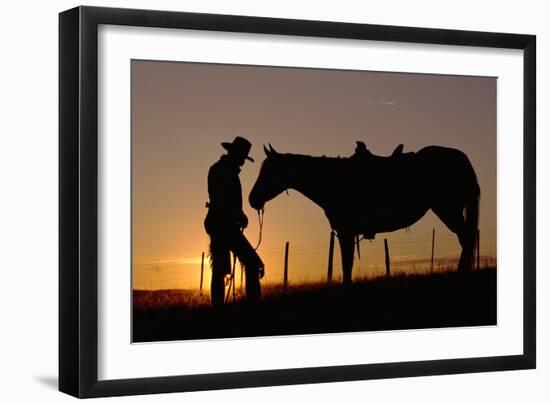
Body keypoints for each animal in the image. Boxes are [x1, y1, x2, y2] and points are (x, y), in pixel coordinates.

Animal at [248, 144, 480, 284]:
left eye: (268, 171)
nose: (252, 199)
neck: (331, 181)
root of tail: (461, 157)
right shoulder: (346, 232)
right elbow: (347, 264)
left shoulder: (346, 231)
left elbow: (346, 264)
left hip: (448, 209)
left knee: (466, 238)